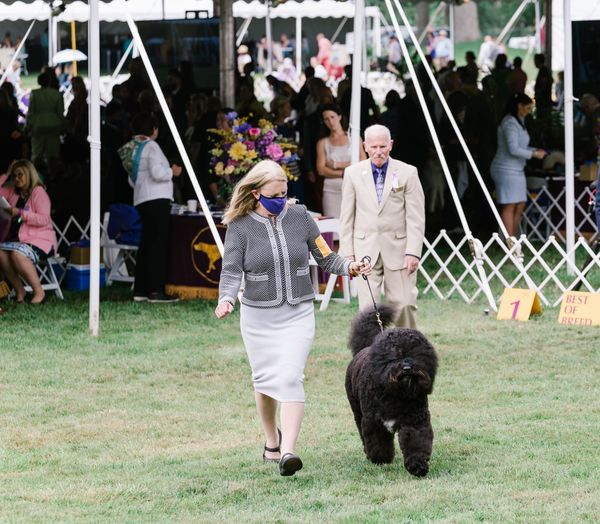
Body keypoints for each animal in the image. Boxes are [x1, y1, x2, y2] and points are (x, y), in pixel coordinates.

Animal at [345, 304, 438, 477]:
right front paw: (381, 459)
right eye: (394, 355)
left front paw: (418, 466)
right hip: (357, 411)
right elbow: (378, 442)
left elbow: (416, 442)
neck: (396, 394)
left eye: (416, 354)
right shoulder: (374, 422)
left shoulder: (415, 420)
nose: (407, 368)